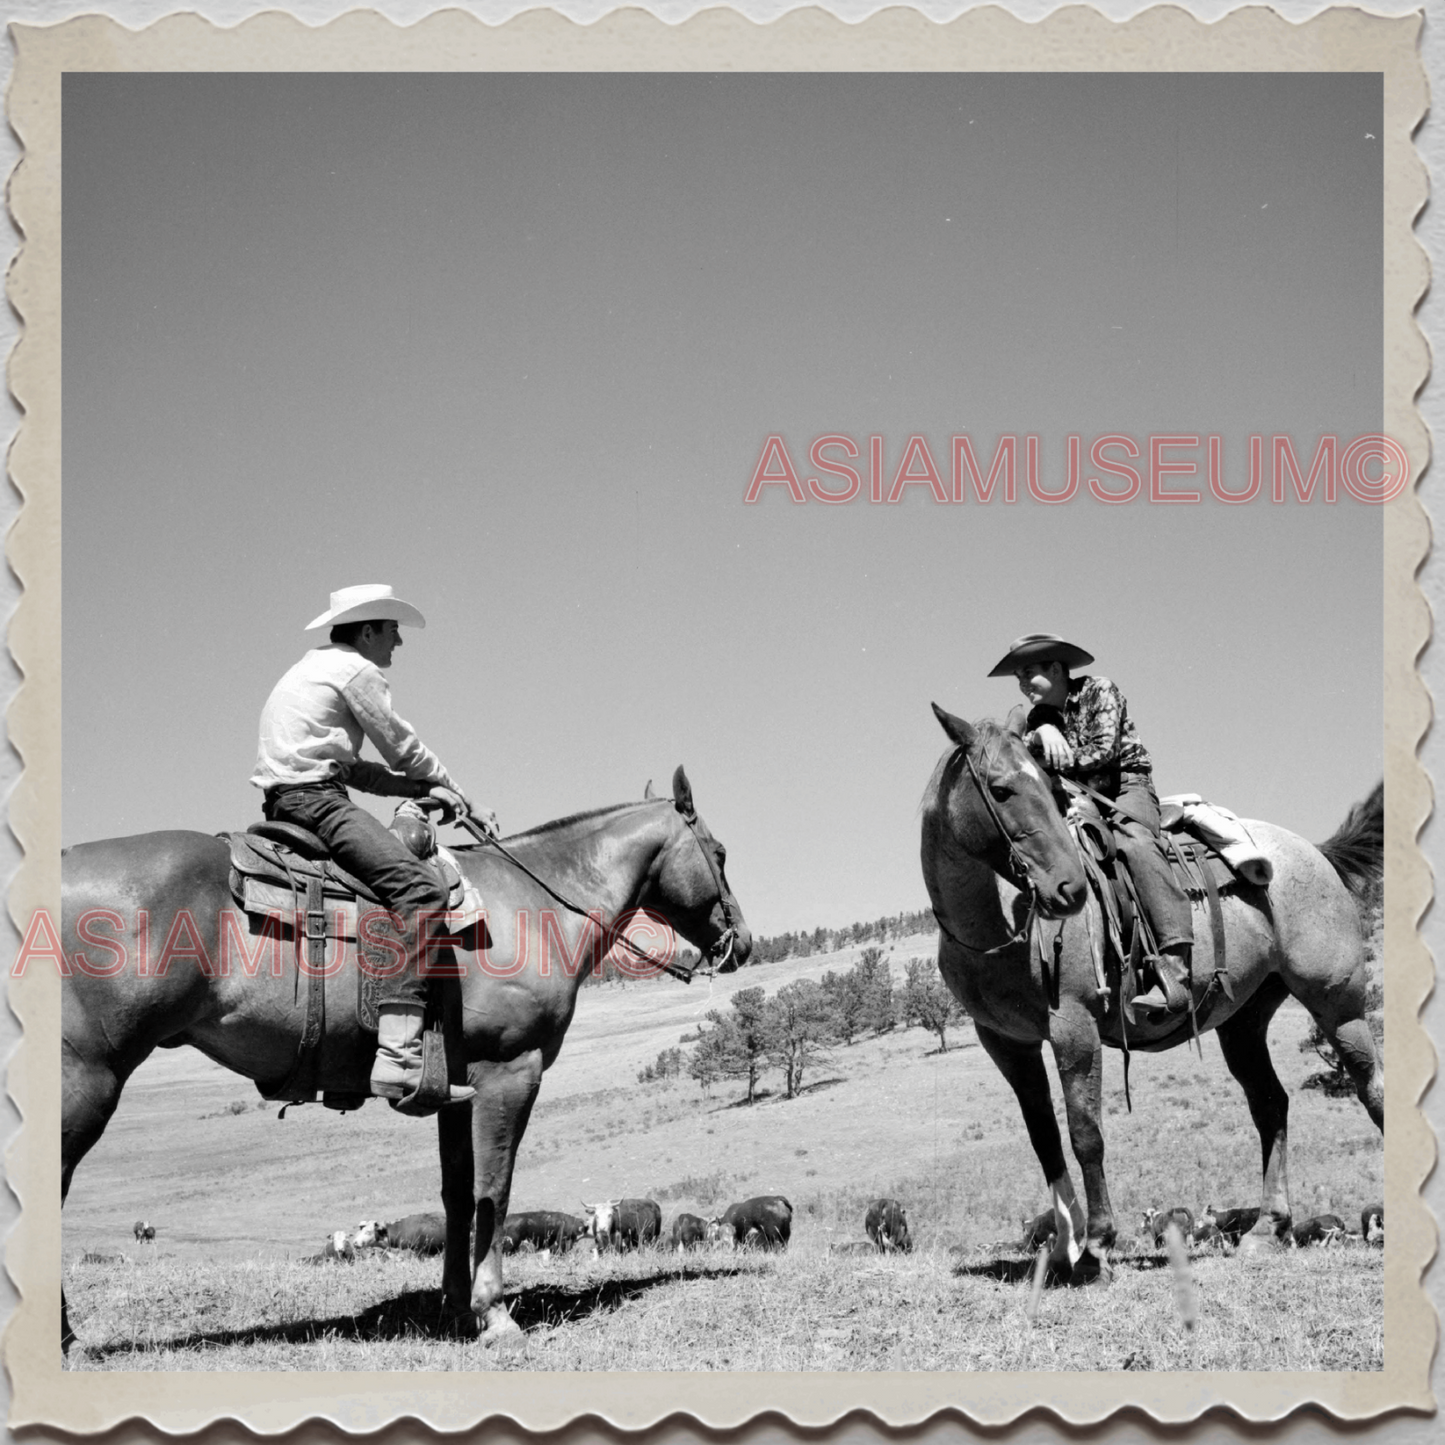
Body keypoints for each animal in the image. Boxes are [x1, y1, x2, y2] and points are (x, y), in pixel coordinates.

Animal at [62, 768, 751, 1340]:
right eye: (718, 852)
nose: (740, 943)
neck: (533, 906)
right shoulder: (511, 1071)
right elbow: (494, 1190)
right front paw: (494, 1313)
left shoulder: (453, 1087)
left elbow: (457, 1194)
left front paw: (456, 1307)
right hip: (88, 1079)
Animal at [919, 705, 1381, 1283]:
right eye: (1001, 790)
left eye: (1050, 789)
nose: (1070, 890)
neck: (996, 926)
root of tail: (1314, 853)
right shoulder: (1007, 1044)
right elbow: (1045, 1139)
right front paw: (1066, 1251)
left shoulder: (1074, 1027)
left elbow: (1085, 1133)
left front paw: (1096, 1245)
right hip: (1244, 1022)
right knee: (1271, 1105)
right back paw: (1266, 1228)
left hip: (1337, 1003)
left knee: (1370, 1085)